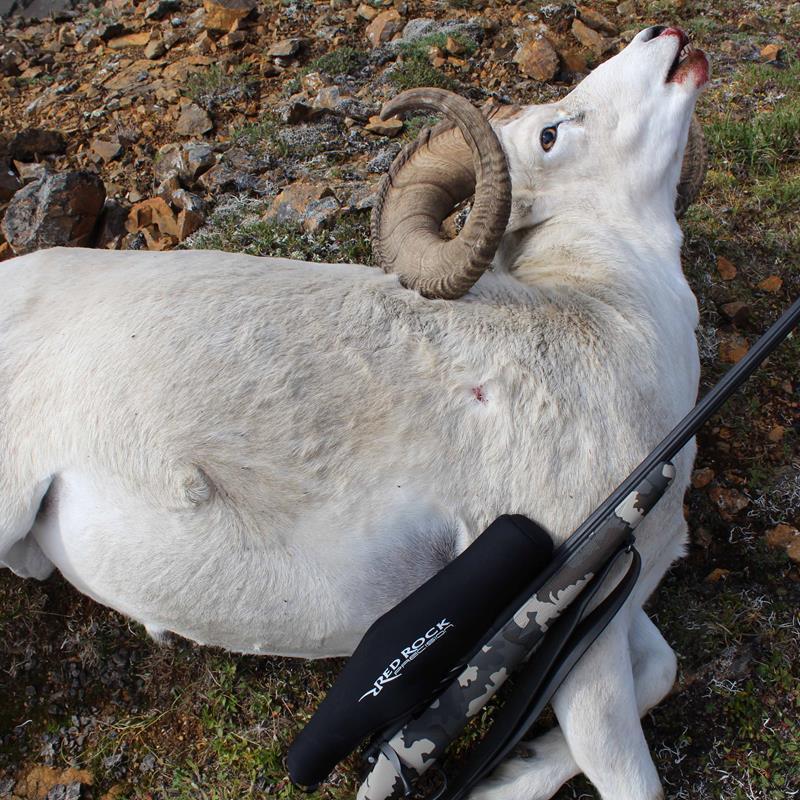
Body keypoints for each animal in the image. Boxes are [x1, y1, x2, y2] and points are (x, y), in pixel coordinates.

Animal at [0, 25, 709, 800]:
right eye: (551, 134)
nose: (664, 36)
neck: (615, 318)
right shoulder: (582, 621)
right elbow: (628, 774)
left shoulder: (617, 604)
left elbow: (662, 672)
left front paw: (510, 775)